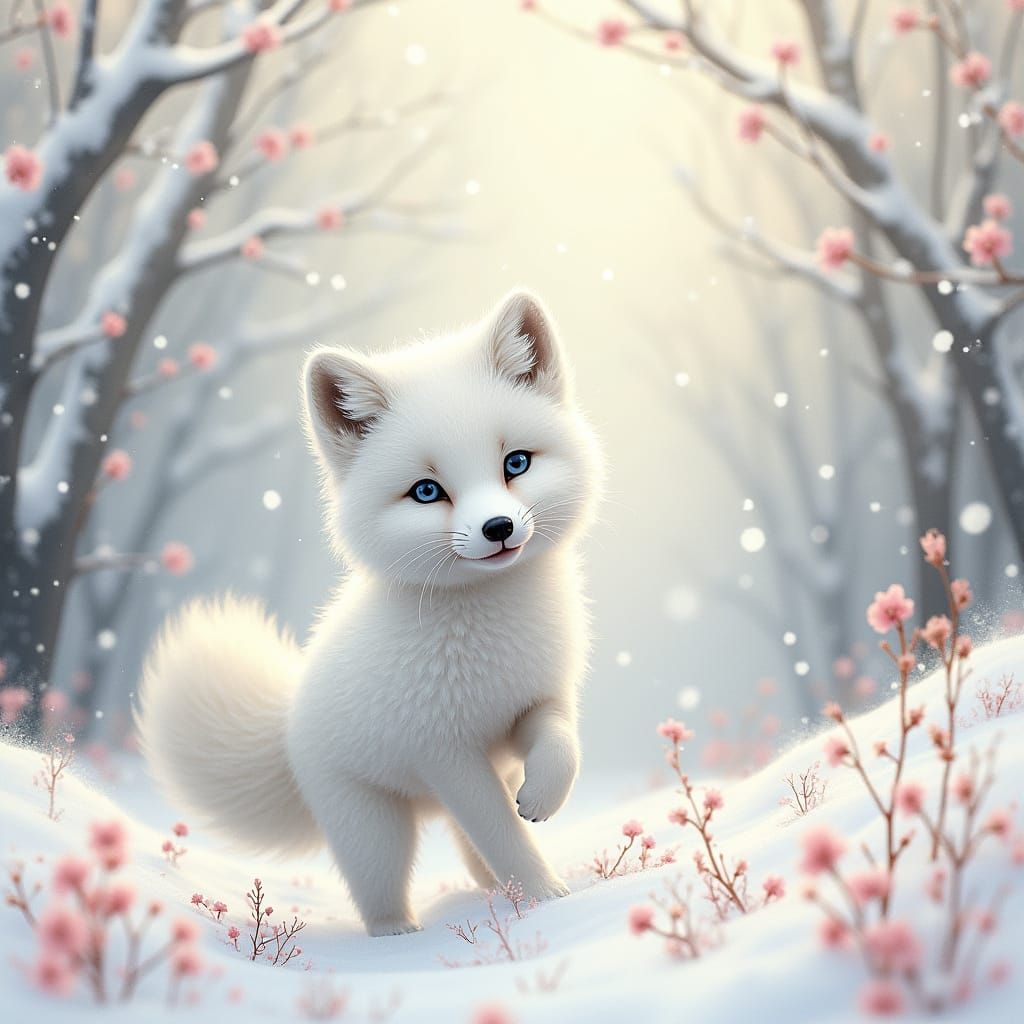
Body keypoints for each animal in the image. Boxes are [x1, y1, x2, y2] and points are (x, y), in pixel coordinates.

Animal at [136, 290, 602, 936]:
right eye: (427, 491)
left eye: (516, 463)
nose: (499, 528)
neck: (488, 633)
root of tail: (288, 723)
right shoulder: (444, 754)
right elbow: (501, 833)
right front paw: (549, 900)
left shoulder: (531, 705)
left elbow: (561, 748)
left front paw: (543, 807)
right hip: (373, 830)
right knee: (384, 891)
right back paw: (399, 937)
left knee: (469, 850)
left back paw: (489, 893)